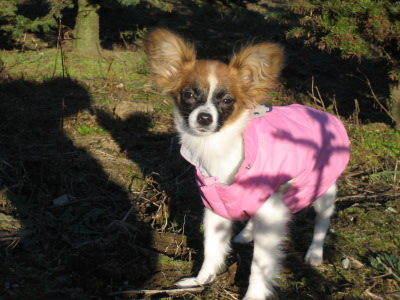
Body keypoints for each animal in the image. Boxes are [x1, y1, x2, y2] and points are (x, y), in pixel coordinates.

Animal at [145, 28, 350, 300]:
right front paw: (201, 280)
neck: (217, 146)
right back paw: (246, 234)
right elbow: (212, 250)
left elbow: (259, 267)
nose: (204, 118)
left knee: (322, 221)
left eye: (227, 101)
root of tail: (323, 114)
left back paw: (315, 253)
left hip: (323, 189)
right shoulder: (216, 209)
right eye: (188, 95)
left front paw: (253, 295)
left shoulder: (272, 216)